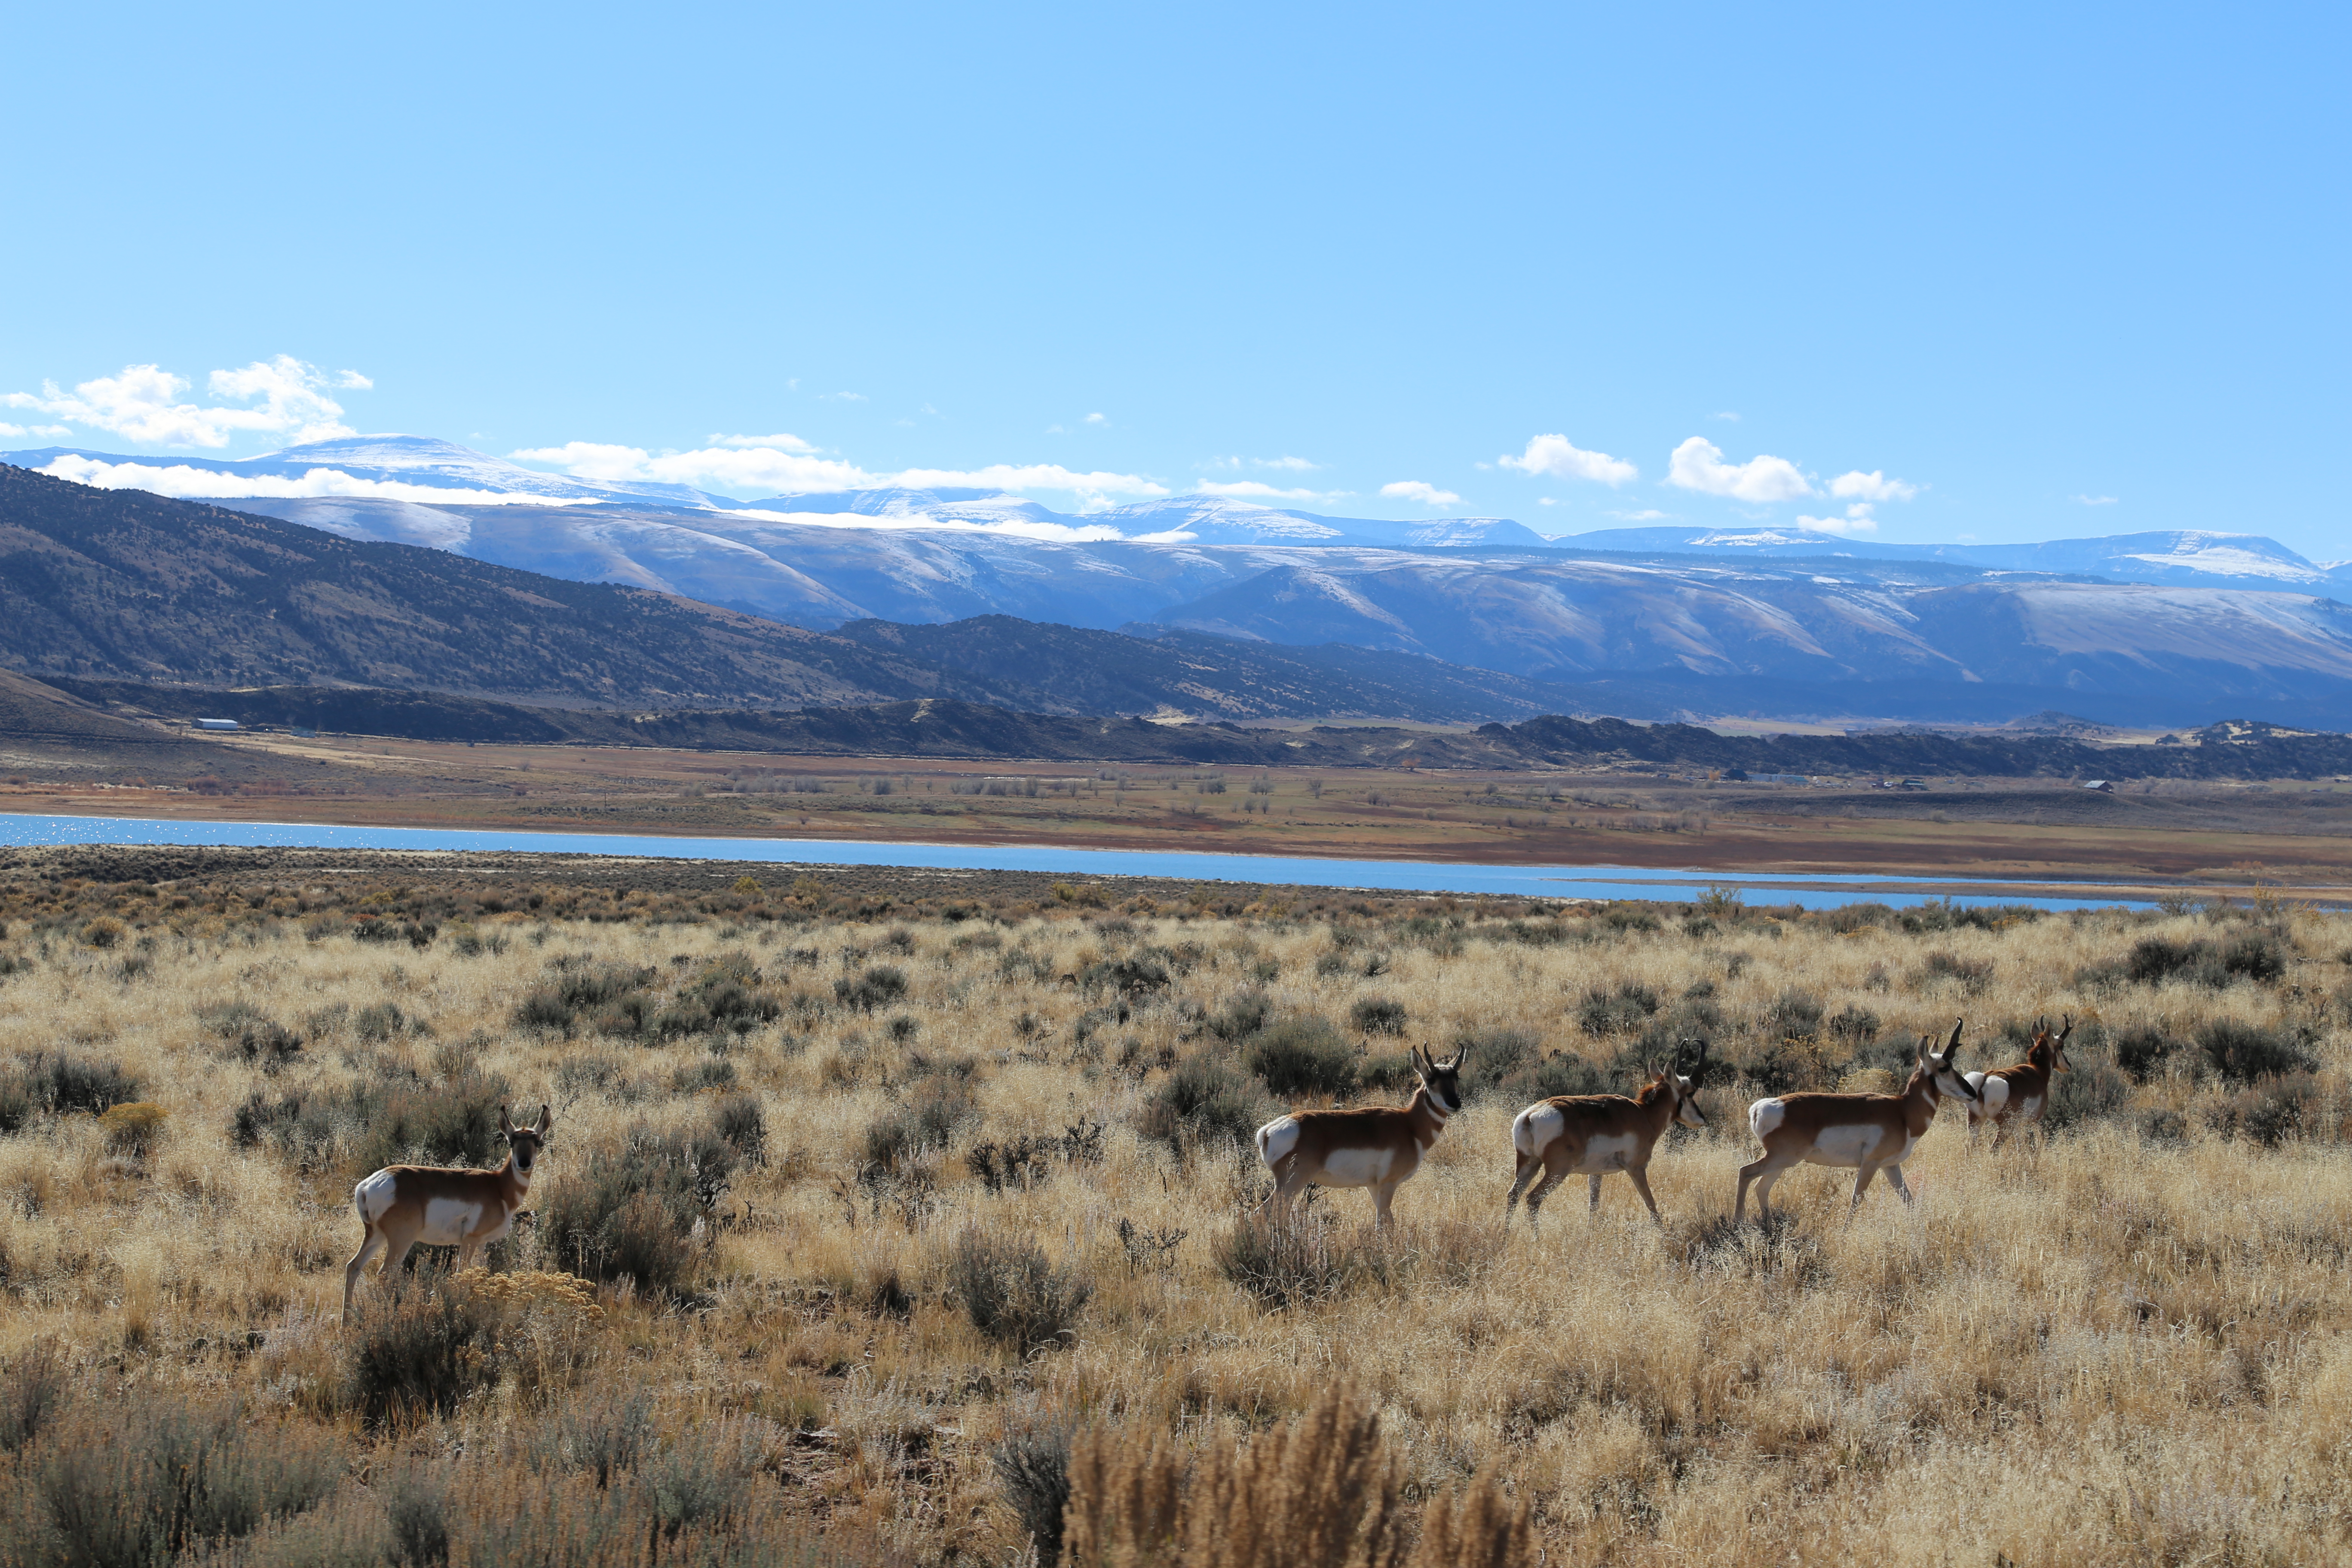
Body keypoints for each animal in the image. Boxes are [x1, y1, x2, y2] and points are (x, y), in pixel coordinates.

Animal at [343, 1105, 552, 1326]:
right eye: (512, 1141)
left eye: (537, 1141)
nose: (524, 1163)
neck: (498, 1187)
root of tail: (368, 1185)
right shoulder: (470, 1240)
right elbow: (462, 1274)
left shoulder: (482, 1243)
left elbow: (482, 1274)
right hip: (401, 1240)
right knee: (384, 1275)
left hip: (376, 1236)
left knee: (353, 1267)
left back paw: (345, 1325)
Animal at [1260, 1048, 1458, 1231]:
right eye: (1431, 1079)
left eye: (1456, 1078)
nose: (1455, 1104)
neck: (1409, 1125)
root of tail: (1267, 1131)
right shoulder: (1388, 1184)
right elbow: (1382, 1225)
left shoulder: (1374, 1187)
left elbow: (1389, 1222)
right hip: (1293, 1183)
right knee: (1267, 1210)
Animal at [1505, 1044, 1712, 1222]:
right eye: (1691, 1093)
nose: (1702, 1120)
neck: (1644, 1113)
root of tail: (1531, 1116)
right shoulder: (1636, 1169)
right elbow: (1651, 1204)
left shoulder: (1596, 1174)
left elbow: (1594, 1207)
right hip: (1557, 1172)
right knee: (1533, 1198)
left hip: (1529, 1165)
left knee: (1513, 1196)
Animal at [1740, 1025, 1975, 1231]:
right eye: (1944, 1068)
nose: (1972, 1093)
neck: (1902, 1111)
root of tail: (1760, 1108)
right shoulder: (1870, 1164)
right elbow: (1857, 1198)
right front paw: (1844, 1233)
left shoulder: (1891, 1166)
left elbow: (1908, 1199)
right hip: (1783, 1159)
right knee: (1746, 1173)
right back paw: (1737, 1224)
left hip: (1782, 1163)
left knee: (1761, 1187)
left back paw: (1767, 1227)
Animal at [1966, 1020, 2079, 1152]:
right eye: (2061, 1046)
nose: (2068, 1066)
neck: (2037, 1072)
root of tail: (1985, 1080)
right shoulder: (2035, 1120)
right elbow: (2039, 1140)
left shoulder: (2019, 1126)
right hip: (2005, 1127)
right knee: (1994, 1148)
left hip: (1976, 1122)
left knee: (1970, 1148)